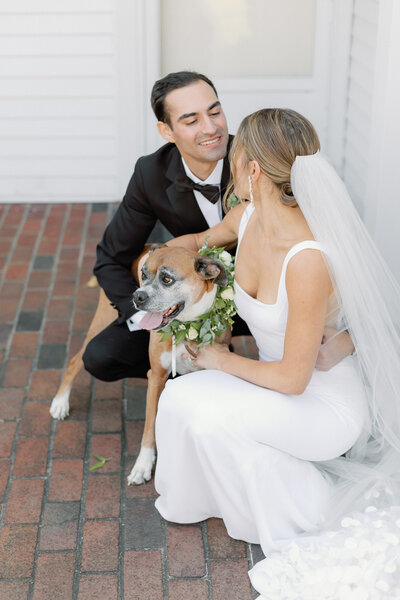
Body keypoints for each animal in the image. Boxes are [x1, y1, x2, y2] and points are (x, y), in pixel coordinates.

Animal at [50, 245, 230, 485]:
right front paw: (142, 466)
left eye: (167, 279)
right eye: (143, 274)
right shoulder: (156, 377)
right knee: (73, 361)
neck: (185, 327)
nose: (137, 296)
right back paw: (60, 403)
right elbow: (149, 427)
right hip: (102, 320)